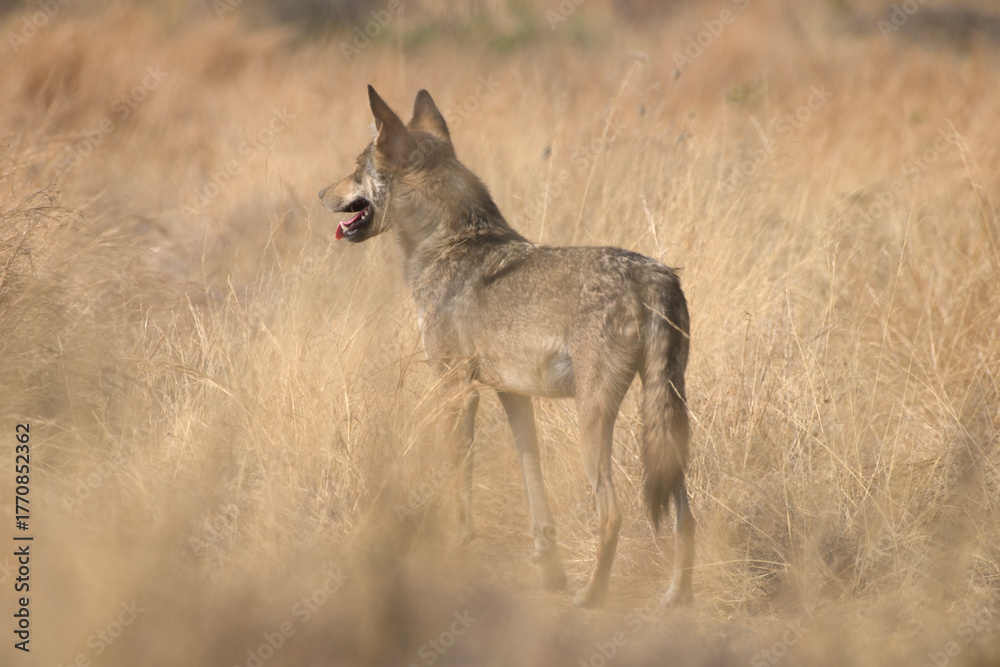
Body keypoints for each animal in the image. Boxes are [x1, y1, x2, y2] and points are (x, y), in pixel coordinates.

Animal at [319, 86, 695, 608]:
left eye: (357, 169)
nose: (319, 194)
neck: (449, 245)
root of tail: (654, 275)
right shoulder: (513, 395)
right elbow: (534, 488)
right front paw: (549, 573)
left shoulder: (456, 390)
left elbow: (458, 484)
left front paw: (456, 556)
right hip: (665, 418)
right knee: (686, 516)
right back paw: (676, 596)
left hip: (593, 421)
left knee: (614, 513)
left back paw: (591, 596)